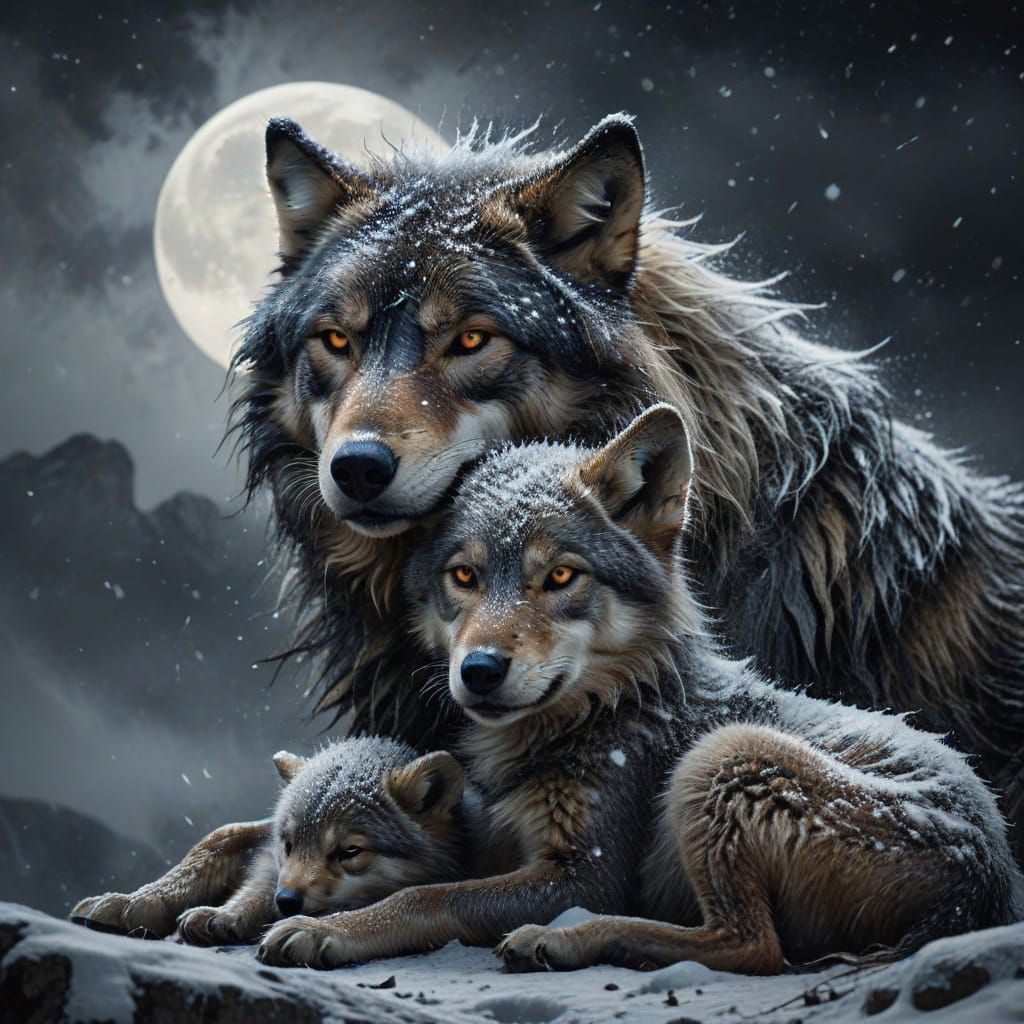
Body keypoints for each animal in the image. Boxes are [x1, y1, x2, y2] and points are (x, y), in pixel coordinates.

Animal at [257, 407, 1023, 973]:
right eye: (464, 577)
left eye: (561, 577)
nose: (479, 670)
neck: (600, 713)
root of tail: (988, 877)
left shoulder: (584, 876)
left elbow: (435, 897)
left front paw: (332, 928)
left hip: (725, 761)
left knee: (751, 947)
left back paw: (563, 940)